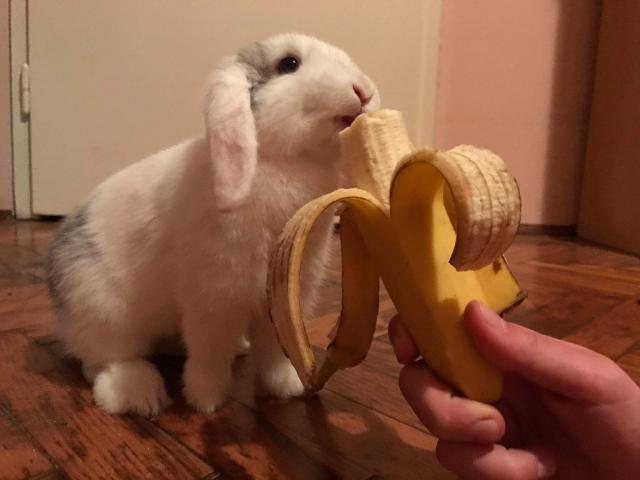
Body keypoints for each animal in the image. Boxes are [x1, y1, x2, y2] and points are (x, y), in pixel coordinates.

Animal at [45, 32, 380, 416]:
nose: (363, 91)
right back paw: (140, 394)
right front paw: (205, 400)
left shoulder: (281, 299)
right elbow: (209, 352)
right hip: (104, 312)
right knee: (104, 362)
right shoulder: (215, 298)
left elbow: (273, 350)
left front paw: (285, 388)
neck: (286, 161)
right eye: (288, 64)